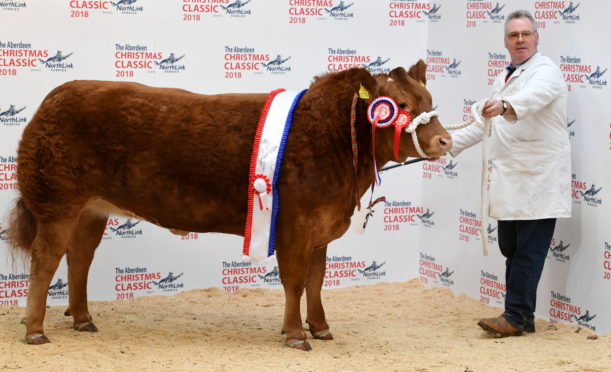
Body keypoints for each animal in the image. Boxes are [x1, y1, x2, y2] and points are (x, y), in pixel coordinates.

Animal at [7, 59, 452, 350]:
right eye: (401, 106)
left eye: (430, 100)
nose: (445, 140)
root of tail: (56, 96)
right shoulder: (295, 225)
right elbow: (294, 282)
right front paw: (295, 335)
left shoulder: (322, 228)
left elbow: (316, 280)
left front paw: (321, 327)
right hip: (58, 202)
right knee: (46, 260)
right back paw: (34, 331)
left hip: (92, 209)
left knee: (79, 258)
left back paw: (83, 319)